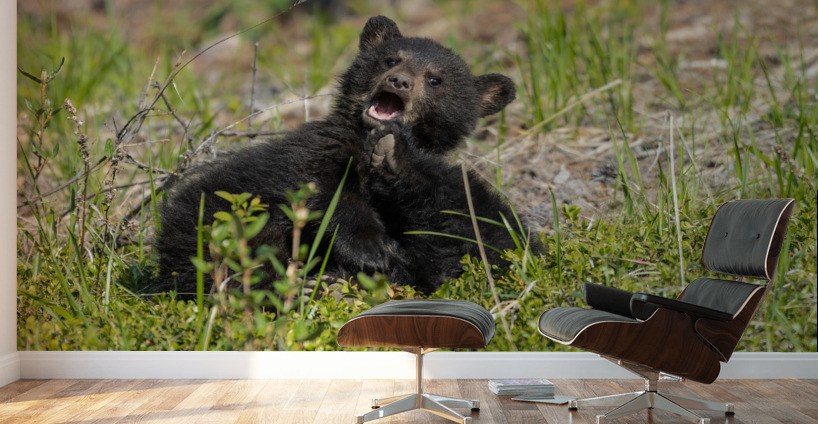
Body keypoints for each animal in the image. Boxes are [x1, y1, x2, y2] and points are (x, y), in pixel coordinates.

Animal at [154, 15, 529, 296]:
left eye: (435, 79)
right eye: (391, 59)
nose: (399, 81)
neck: (365, 141)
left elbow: (475, 229)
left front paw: (396, 159)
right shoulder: (320, 147)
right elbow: (323, 190)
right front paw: (371, 248)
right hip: (216, 214)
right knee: (237, 249)